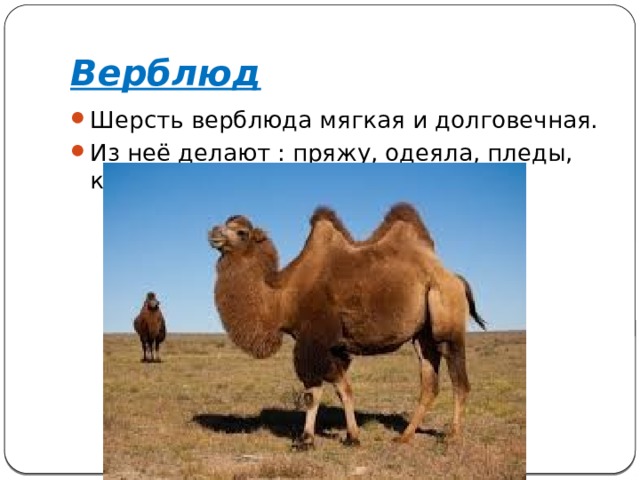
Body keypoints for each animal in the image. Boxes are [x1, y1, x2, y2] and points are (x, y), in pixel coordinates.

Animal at [208, 203, 485, 449]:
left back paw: (452, 437)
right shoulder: (334, 347)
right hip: (422, 336)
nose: (213, 233)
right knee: (429, 383)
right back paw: (404, 437)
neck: (283, 296)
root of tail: (456, 278)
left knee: (459, 381)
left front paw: (305, 440)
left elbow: (312, 393)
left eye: (241, 232)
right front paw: (353, 437)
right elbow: (344, 390)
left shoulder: (313, 341)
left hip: (447, 324)